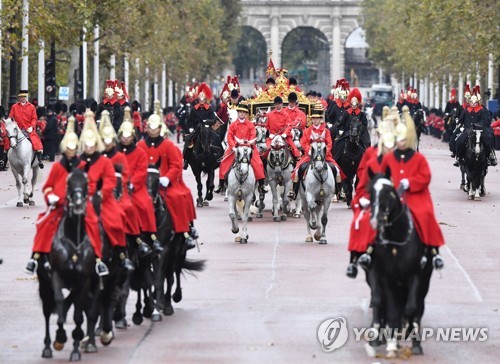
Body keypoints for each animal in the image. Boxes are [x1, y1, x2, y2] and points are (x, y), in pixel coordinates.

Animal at [37, 168, 98, 362]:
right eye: (68, 184)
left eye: (86, 184)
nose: (78, 205)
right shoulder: (56, 275)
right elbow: (58, 303)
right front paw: (60, 337)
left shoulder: (85, 280)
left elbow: (78, 314)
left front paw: (76, 349)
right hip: (44, 284)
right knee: (47, 311)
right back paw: (47, 346)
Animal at [146, 166, 206, 318]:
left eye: (157, 181)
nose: (148, 201)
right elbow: (153, 277)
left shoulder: (165, 250)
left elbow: (163, 276)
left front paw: (163, 305)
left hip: (179, 251)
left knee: (175, 272)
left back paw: (173, 298)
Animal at [368, 172, 434, 356]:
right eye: (370, 192)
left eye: (389, 192)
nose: (376, 220)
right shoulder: (384, 277)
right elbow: (389, 308)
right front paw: (390, 342)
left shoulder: (416, 276)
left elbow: (411, 308)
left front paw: (413, 342)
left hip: (424, 281)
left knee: (417, 307)